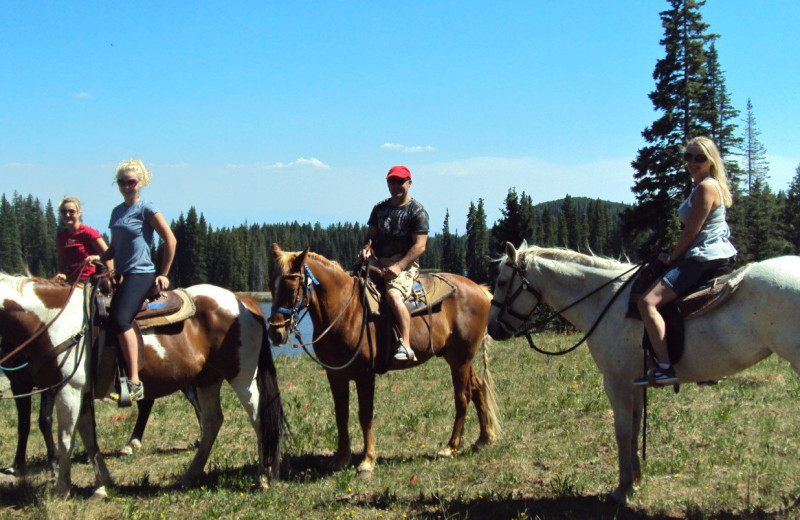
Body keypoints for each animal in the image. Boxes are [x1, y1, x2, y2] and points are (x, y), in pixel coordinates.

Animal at [0, 274, 284, 498]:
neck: (57, 322)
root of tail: (243, 300)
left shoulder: (69, 390)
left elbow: (66, 439)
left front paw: (62, 488)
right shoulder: (80, 393)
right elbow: (88, 437)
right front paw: (101, 485)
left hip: (242, 376)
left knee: (259, 419)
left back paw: (264, 477)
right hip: (207, 378)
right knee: (213, 421)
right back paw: (190, 475)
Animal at [266, 244, 496, 476]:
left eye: (291, 288)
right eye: (270, 286)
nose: (275, 333)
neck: (344, 311)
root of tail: (479, 289)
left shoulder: (365, 375)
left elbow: (365, 415)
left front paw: (367, 461)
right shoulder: (335, 375)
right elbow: (341, 414)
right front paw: (341, 458)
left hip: (460, 358)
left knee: (462, 396)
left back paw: (451, 446)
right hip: (456, 357)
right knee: (478, 387)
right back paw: (484, 438)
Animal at [484, 244, 800, 504]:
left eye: (501, 282)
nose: (494, 329)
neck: (605, 300)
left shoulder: (616, 381)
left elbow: (622, 432)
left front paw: (622, 489)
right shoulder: (634, 383)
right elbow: (635, 428)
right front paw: (635, 480)